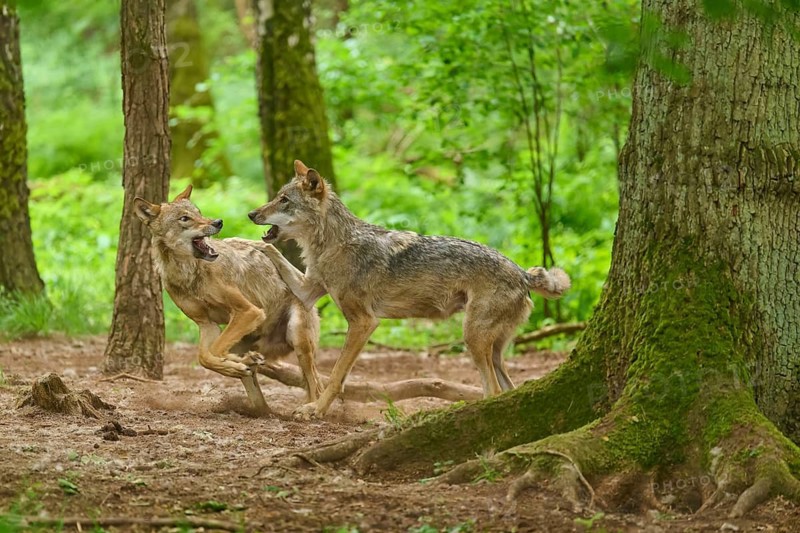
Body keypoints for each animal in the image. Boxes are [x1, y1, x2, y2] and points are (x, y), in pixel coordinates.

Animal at [133, 185, 322, 413]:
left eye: (199, 212)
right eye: (184, 218)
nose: (218, 222)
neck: (189, 274)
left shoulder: (249, 311)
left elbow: (212, 351)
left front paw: (239, 362)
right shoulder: (206, 324)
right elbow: (204, 357)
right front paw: (239, 364)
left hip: (298, 339)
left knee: (316, 386)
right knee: (261, 399)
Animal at [248, 160, 571, 419]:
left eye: (284, 200)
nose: (251, 214)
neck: (332, 245)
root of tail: (522, 274)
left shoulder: (364, 322)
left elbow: (337, 375)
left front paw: (316, 410)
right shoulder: (307, 291)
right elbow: (269, 249)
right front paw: (246, 243)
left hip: (473, 339)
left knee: (493, 389)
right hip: (491, 350)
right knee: (507, 388)